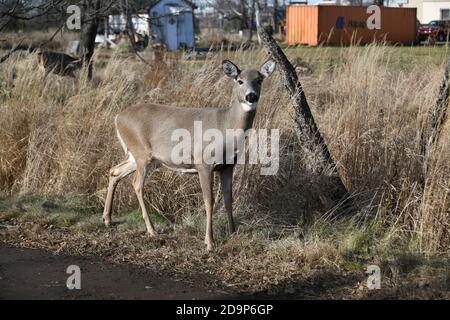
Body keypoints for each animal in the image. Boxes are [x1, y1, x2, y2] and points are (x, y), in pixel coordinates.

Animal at [103, 59, 276, 250]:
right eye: (239, 80)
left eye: (259, 80)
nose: (251, 96)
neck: (226, 125)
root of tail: (117, 117)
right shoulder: (204, 163)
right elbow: (209, 201)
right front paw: (209, 242)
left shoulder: (227, 166)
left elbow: (228, 199)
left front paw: (233, 232)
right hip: (141, 153)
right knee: (136, 184)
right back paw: (151, 229)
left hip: (136, 156)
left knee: (114, 171)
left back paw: (107, 219)